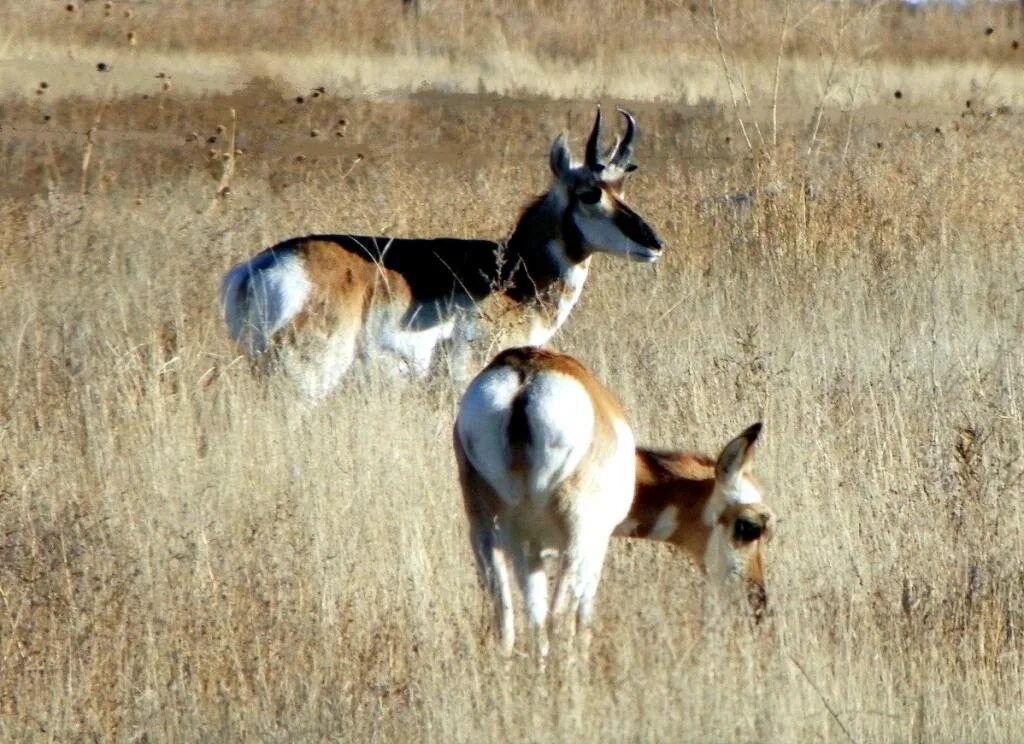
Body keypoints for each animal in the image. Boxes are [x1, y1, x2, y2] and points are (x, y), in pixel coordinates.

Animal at [221, 107, 663, 399]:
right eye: (590, 193)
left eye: (621, 191)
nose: (655, 244)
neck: (512, 276)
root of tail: (260, 266)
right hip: (308, 379)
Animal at [454, 343, 634, 659]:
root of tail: (524, 378)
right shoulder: (596, 544)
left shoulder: (530, 549)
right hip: (576, 539)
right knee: (559, 617)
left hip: (488, 535)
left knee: (508, 617)